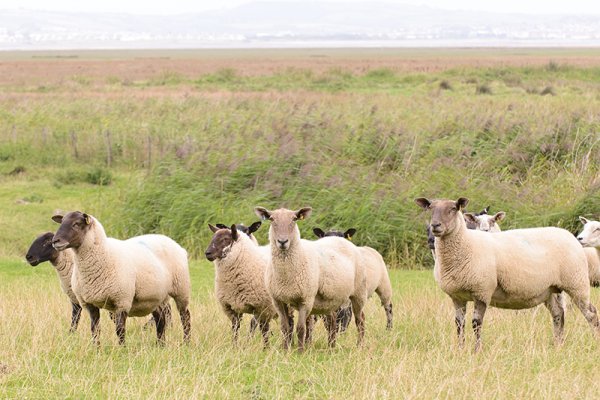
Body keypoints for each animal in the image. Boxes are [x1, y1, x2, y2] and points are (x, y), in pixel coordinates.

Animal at [53, 211, 191, 346]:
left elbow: (120, 329)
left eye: (76, 224)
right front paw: (96, 348)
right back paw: (160, 345)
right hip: (156, 297)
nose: (55, 241)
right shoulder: (89, 303)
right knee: (161, 319)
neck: (105, 254)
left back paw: (186, 343)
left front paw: (122, 348)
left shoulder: (122, 300)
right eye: (62, 222)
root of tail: (177, 245)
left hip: (181, 289)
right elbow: (95, 329)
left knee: (185, 316)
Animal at [252, 208, 366, 352]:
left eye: (294, 219)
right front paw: (285, 350)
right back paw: (331, 347)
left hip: (359, 292)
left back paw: (360, 346)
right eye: (272, 219)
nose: (282, 241)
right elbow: (285, 328)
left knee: (360, 319)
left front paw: (300, 352)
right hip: (331, 299)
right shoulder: (278, 300)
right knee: (332, 321)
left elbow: (301, 328)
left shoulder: (306, 299)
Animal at [414, 198, 596, 352]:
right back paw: (558, 344)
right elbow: (459, 324)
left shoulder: (482, 291)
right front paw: (460, 349)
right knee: (558, 314)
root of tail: (569, 235)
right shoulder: (457, 296)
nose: (435, 226)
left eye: (453, 208)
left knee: (591, 313)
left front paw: (476, 350)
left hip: (576, 282)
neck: (466, 244)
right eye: (430, 208)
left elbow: (476, 324)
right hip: (549, 289)